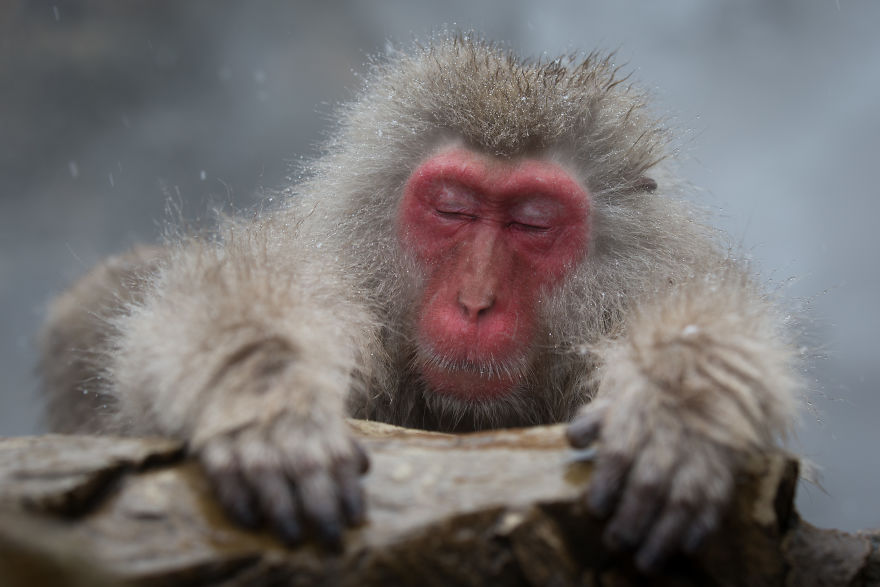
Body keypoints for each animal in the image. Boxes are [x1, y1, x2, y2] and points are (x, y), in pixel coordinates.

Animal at [39, 34, 798, 572]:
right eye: (452, 208)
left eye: (533, 222)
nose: (475, 302)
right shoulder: (341, 270)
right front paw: (268, 400)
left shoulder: (645, 284)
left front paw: (675, 414)